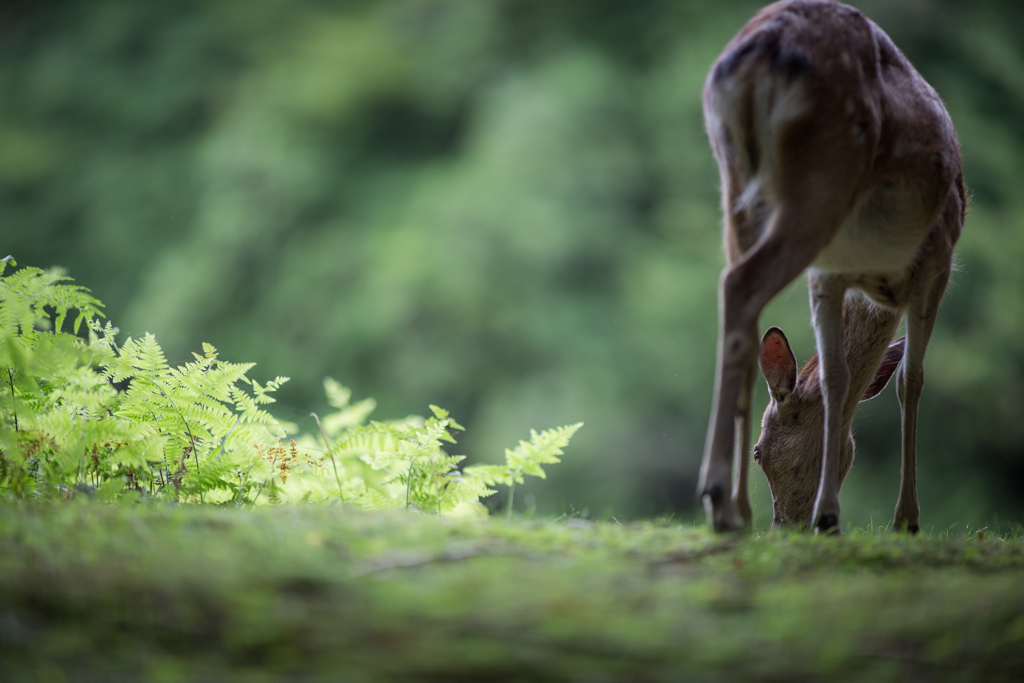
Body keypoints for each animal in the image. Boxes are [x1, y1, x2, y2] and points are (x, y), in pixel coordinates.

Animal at [696, 0, 966, 532]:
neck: (880, 286)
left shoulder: (830, 273)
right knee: (740, 285)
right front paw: (905, 518)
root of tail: (761, 49)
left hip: (734, 182)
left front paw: (833, 512)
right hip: (823, 179)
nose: (785, 526)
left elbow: (840, 375)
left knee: (743, 309)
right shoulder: (938, 258)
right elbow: (911, 381)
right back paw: (717, 494)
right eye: (758, 454)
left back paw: (735, 510)